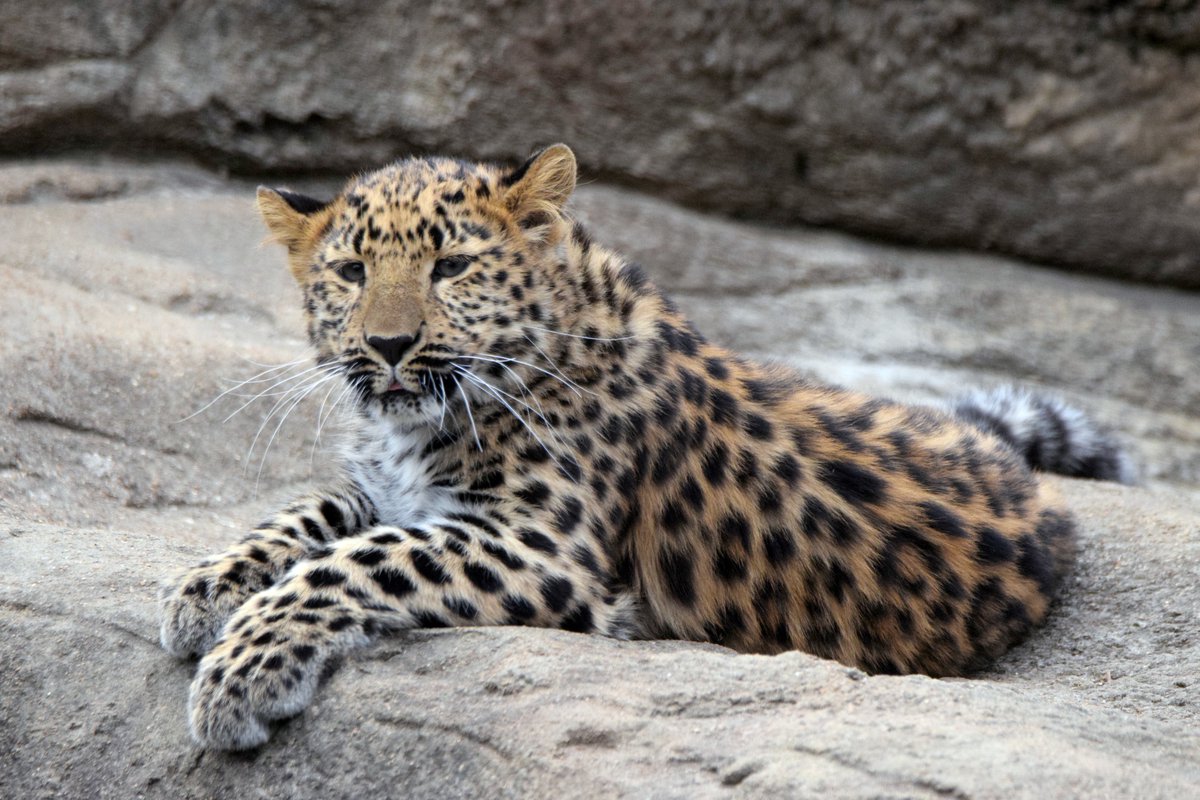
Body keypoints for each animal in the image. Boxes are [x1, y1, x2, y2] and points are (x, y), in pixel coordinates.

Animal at [158, 144, 1133, 750]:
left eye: (452, 268)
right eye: (352, 272)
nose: (389, 346)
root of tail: (1030, 486)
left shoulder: (543, 547)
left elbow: (360, 558)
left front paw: (238, 674)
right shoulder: (390, 486)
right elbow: (312, 512)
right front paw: (204, 589)